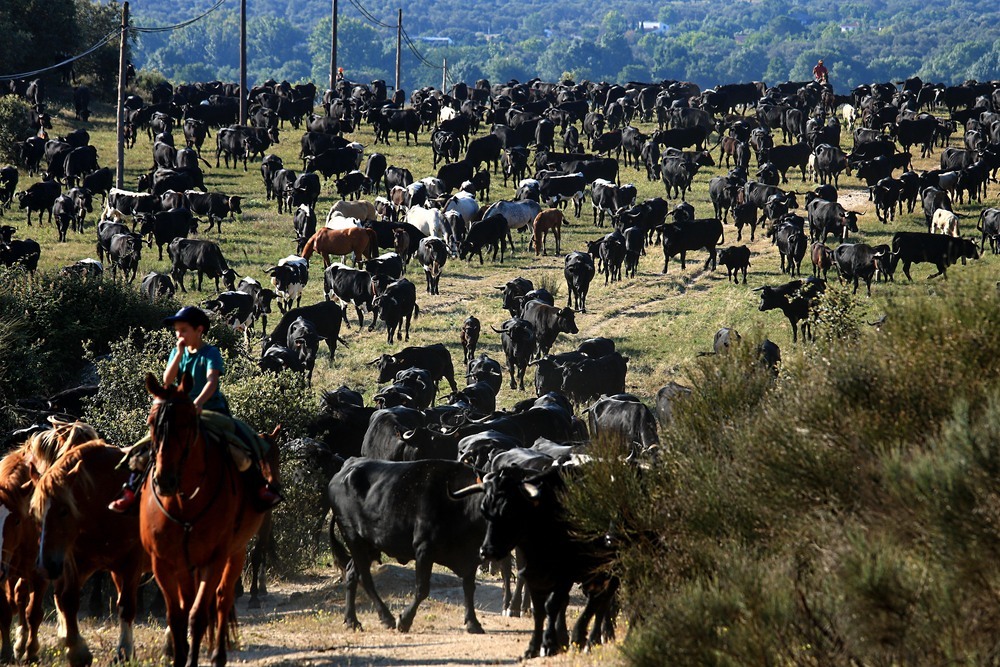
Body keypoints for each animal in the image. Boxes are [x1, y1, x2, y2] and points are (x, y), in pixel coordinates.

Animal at [30, 438, 150, 667]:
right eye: (35, 513)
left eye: (64, 510)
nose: (45, 565)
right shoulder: (78, 561)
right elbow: (68, 600)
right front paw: (78, 651)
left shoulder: (132, 562)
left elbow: (127, 606)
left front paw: (123, 652)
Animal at [138, 376, 278, 667]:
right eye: (150, 422)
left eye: (187, 422)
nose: (165, 480)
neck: (184, 501)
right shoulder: (165, 563)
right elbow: (177, 615)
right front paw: (176, 653)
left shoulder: (215, 558)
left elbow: (198, 613)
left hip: (234, 552)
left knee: (222, 598)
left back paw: (218, 653)